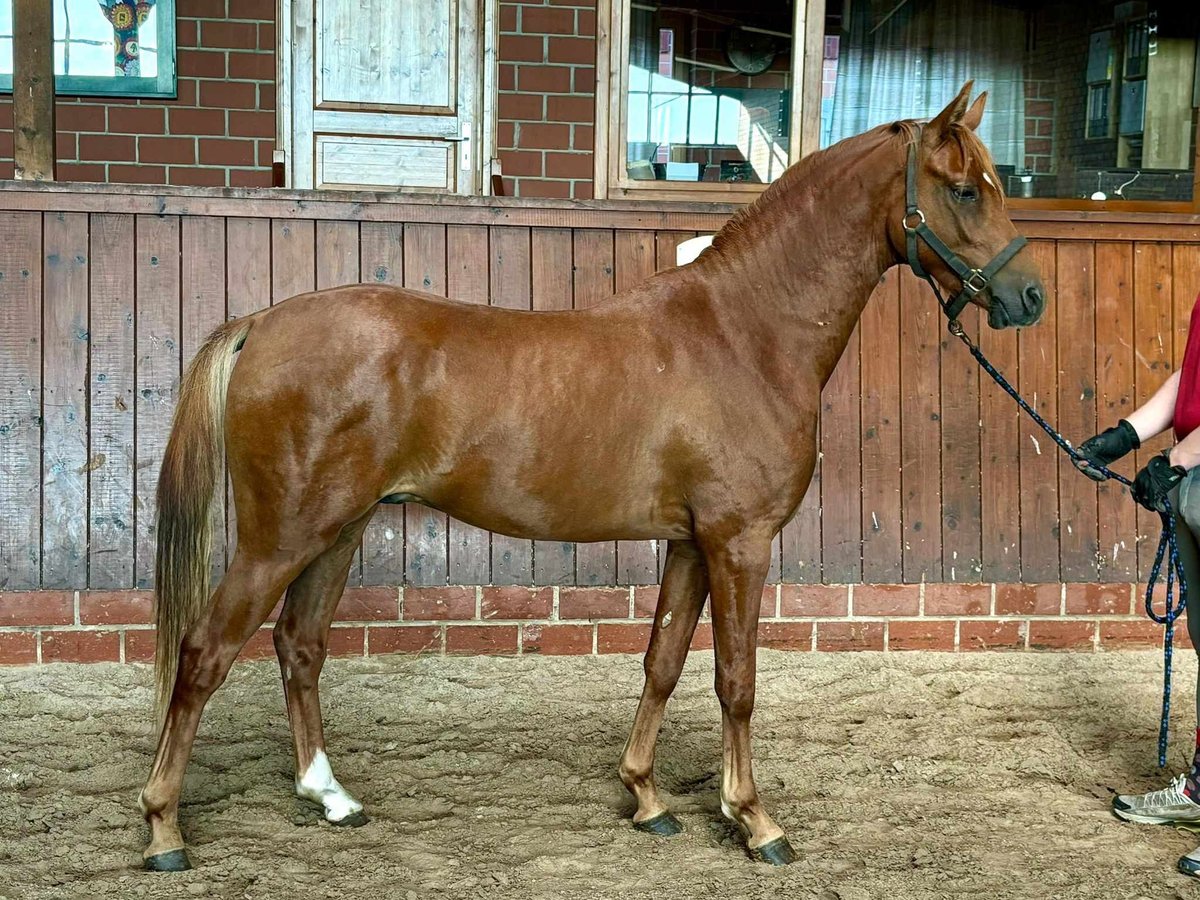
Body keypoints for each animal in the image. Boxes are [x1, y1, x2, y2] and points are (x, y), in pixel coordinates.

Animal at [138, 86, 1041, 873]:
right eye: (964, 190)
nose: (1028, 298)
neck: (743, 334)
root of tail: (262, 323)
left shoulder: (692, 543)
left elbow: (663, 662)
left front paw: (647, 799)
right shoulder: (740, 543)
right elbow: (737, 681)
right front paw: (754, 819)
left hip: (338, 530)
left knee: (299, 645)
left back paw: (329, 796)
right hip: (282, 537)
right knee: (205, 653)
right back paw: (162, 829)